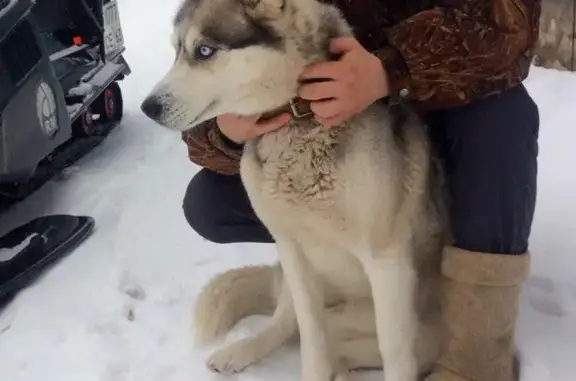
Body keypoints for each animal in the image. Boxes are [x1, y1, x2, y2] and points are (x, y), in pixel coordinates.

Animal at [142, 0, 448, 380]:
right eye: (176, 51)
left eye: (204, 50)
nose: (148, 108)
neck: (298, 118)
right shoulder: (293, 250)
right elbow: (311, 338)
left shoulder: (387, 263)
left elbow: (394, 355)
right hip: (295, 279)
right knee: (287, 327)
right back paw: (239, 352)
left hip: (417, 333)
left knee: (343, 346)